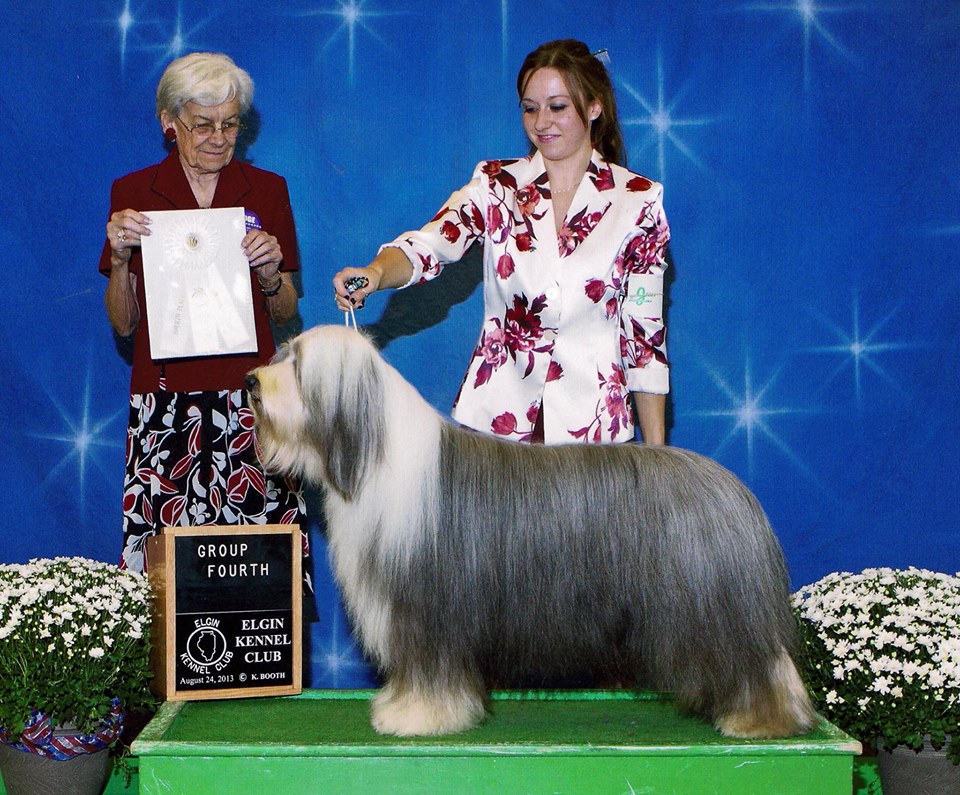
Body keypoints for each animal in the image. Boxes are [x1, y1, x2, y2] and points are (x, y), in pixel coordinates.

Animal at [248, 324, 816, 740]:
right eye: (284, 354)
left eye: (297, 366)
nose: (252, 381)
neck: (372, 455)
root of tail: (734, 489)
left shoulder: (429, 606)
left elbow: (430, 669)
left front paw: (416, 717)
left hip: (711, 606)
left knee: (758, 662)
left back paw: (762, 720)